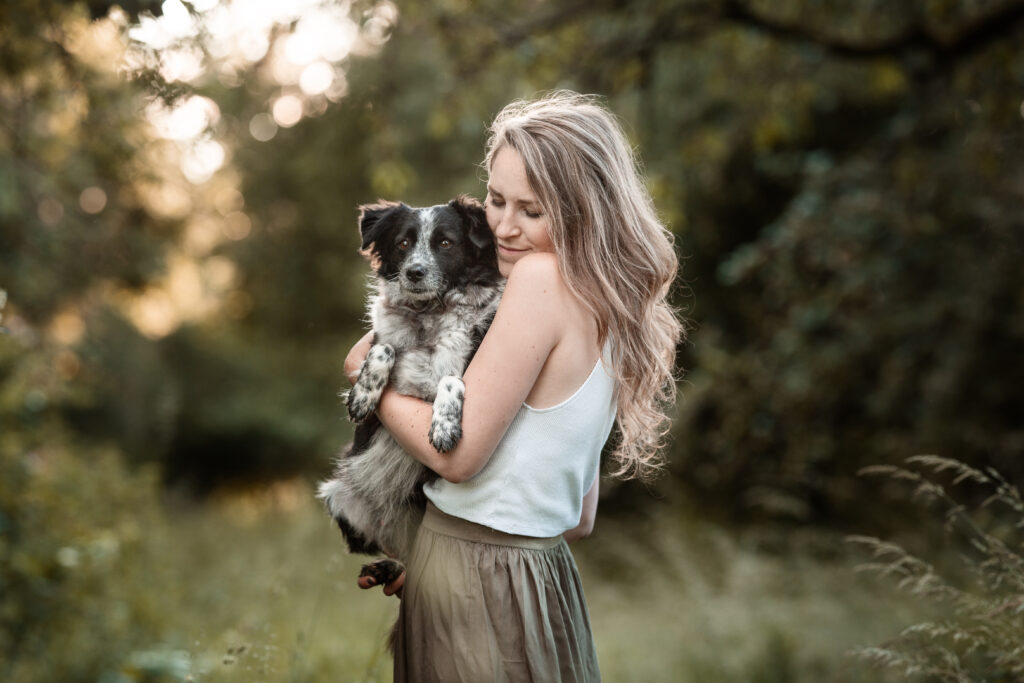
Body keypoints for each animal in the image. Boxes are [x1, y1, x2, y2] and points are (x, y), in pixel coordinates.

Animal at [315, 194, 499, 585]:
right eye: (403, 243)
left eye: (445, 242)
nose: (414, 272)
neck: (428, 312)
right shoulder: (381, 340)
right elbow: (383, 348)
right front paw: (363, 395)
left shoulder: (472, 359)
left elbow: (450, 379)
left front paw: (444, 426)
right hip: (340, 496)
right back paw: (383, 570)